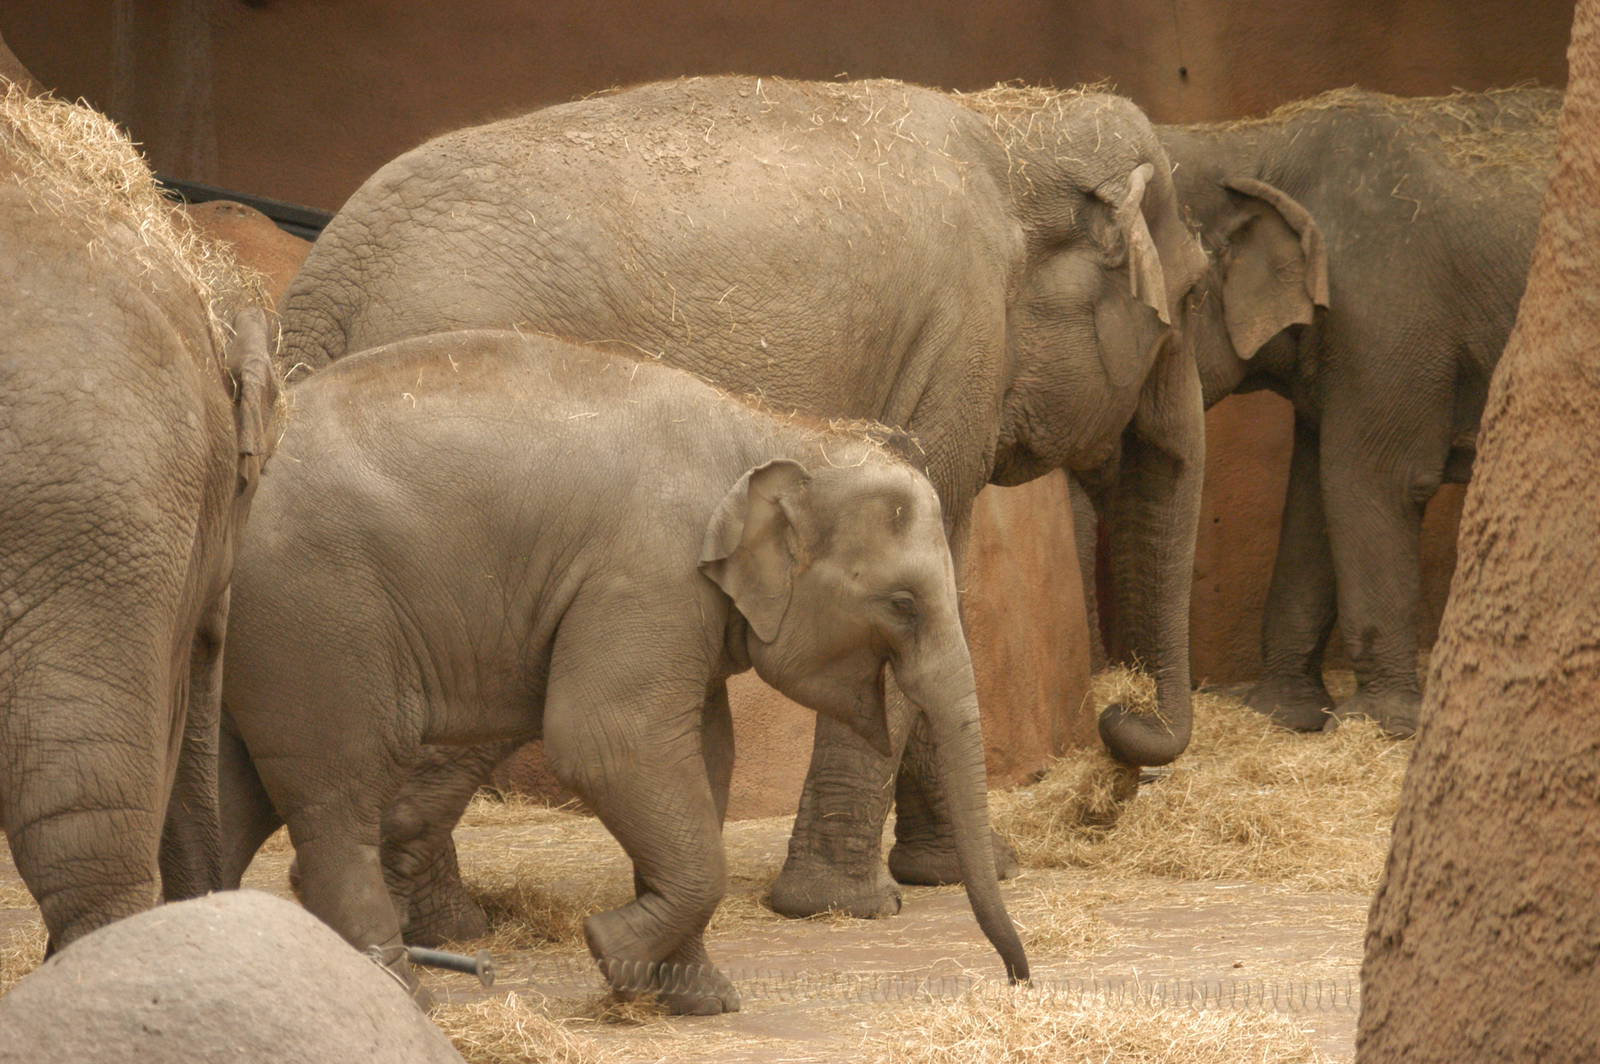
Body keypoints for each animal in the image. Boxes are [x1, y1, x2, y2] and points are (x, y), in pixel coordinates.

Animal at [212, 328, 1030, 1012]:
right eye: (903, 604)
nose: (1018, 979)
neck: (777, 431)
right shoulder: (647, 573)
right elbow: (609, 742)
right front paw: (610, 951)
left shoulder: (684, 605)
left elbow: (702, 758)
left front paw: (699, 1001)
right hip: (317, 613)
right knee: (339, 785)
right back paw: (406, 996)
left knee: (231, 791)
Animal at [273, 76, 1209, 927]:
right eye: (1194, 296)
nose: (1120, 718)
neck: (1015, 127)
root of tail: (326, 284)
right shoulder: (956, 347)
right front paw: (845, 906)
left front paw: (953, 874)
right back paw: (443, 926)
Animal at [1081, 87, 1556, 737]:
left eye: (1169, 303)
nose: (1114, 710)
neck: (1255, 141)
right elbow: (1312, 493)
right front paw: (1283, 713)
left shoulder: (1386, 312)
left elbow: (1372, 481)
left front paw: (1378, 724)